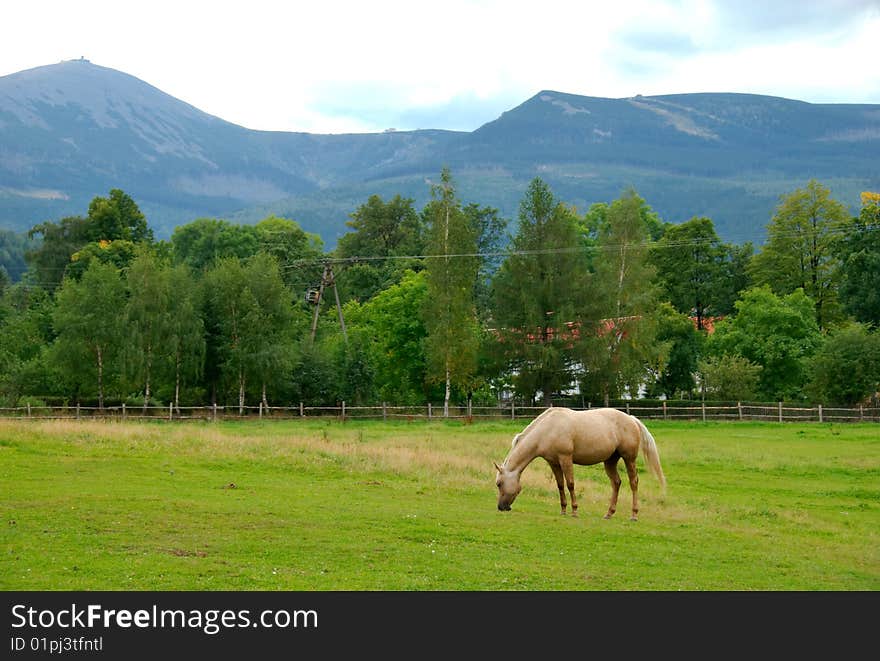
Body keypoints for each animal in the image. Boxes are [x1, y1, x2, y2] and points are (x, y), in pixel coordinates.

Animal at [496, 404, 668, 520]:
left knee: (633, 482)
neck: (547, 429)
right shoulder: (554, 462)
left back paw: (634, 514)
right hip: (610, 461)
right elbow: (560, 485)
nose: (501, 507)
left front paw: (574, 511)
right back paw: (609, 513)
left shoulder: (565, 458)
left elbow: (570, 484)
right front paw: (563, 510)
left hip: (629, 458)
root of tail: (631, 419)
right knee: (616, 483)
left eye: (499, 484)